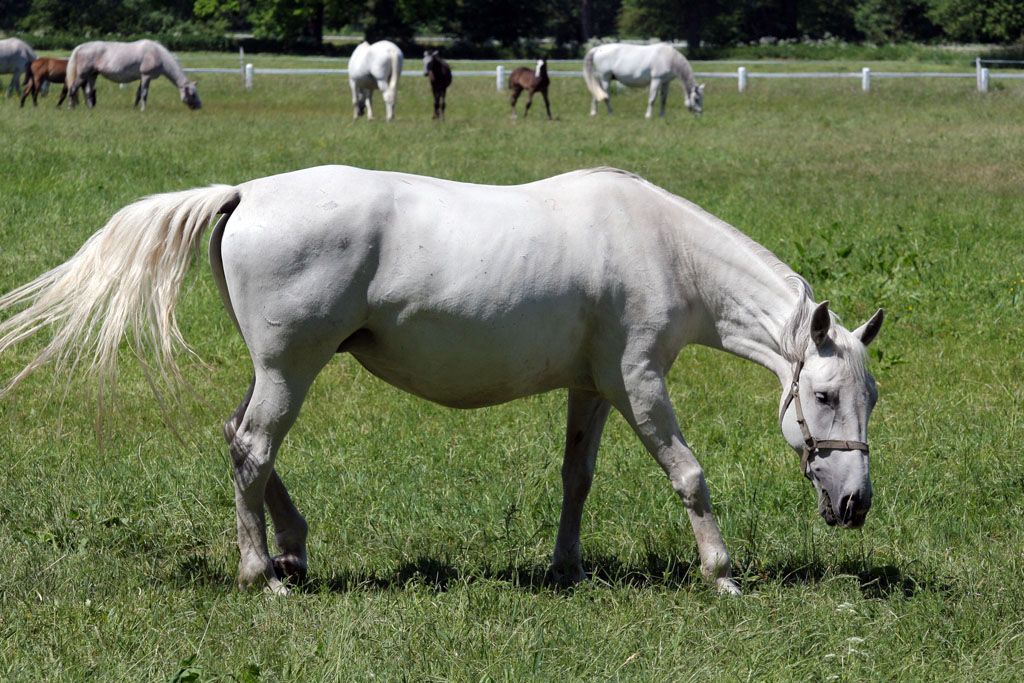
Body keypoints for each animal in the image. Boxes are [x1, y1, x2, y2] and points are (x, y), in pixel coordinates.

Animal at [0, 166, 880, 598]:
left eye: (869, 397)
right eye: (823, 396)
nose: (855, 503)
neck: (659, 245)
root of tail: (244, 193)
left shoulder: (593, 387)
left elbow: (577, 477)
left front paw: (566, 566)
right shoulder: (639, 383)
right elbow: (690, 475)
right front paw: (722, 574)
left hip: (276, 369)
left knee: (239, 439)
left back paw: (293, 549)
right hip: (291, 368)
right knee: (251, 447)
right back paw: (262, 575)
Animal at [66, 39, 199, 111]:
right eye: (192, 94)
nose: (199, 106)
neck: (157, 54)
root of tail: (81, 47)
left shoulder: (143, 78)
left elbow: (138, 94)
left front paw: (135, 109)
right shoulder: (146, 76)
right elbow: (144, 94)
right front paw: (143, 109)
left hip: (92, 75)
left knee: (88, 91)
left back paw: (91, 108)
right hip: (83, 75)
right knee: (73, 88)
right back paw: (71, 107)